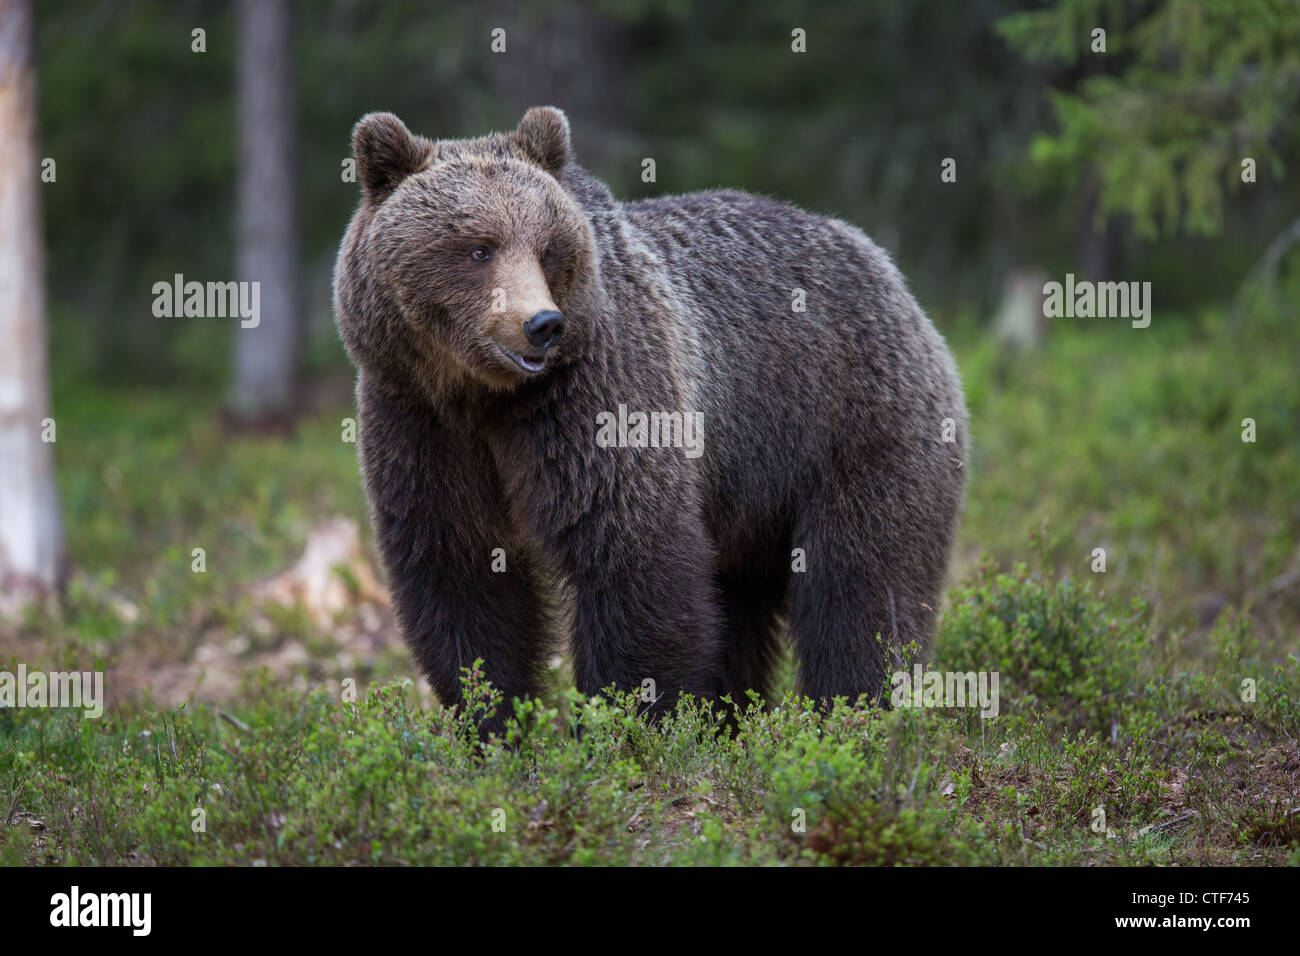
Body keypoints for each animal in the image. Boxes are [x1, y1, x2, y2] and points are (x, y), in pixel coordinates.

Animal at [333, 106, 967, 735]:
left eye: (547, 249)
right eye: (479, 248)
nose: (541, 324)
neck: (484, 397)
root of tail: (893, 279)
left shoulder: (596, 396)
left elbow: (630, 551)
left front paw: (628, 723)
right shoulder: (416, 419)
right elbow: (461, 571)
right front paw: (495, 722)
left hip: (853, 422)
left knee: (862, 582)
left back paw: (855, 713)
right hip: (751, 498)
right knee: (740, 606)